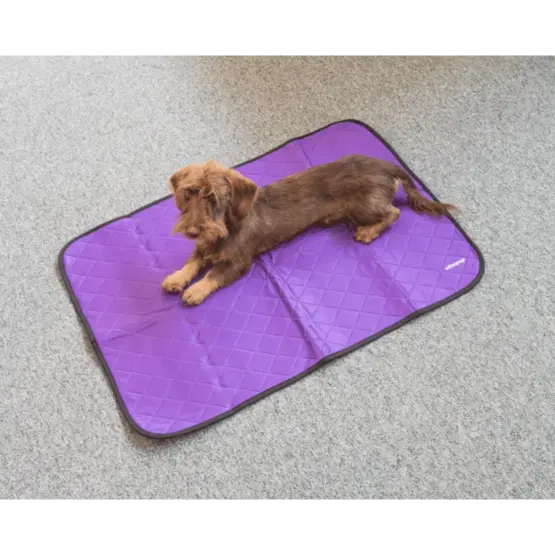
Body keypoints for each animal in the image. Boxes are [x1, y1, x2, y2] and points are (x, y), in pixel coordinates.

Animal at [161, 155, 455, 305]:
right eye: (188, 194)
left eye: (213, 198)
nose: (193, 231)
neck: (228, 226)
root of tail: (386, 165)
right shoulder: (203, 247)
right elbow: (192, 263)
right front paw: (177, 278)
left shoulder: (239, 263)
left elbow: (213, 273)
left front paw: (196, 290)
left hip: (364, 207)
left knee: (394, 213)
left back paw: (369, 232)